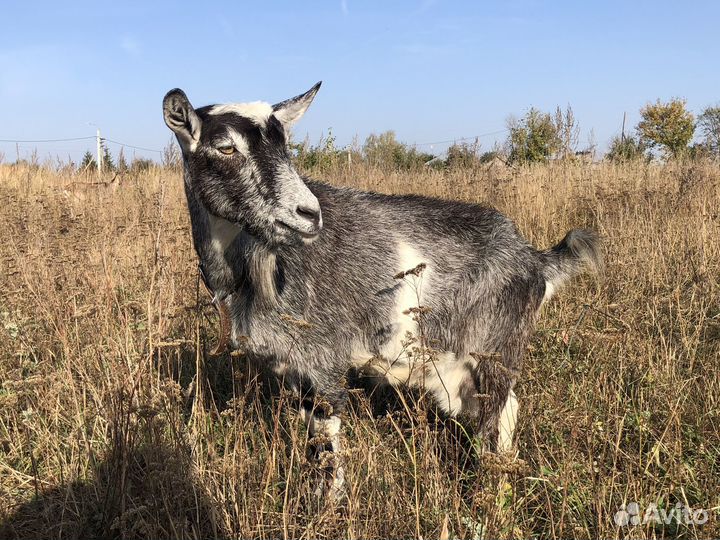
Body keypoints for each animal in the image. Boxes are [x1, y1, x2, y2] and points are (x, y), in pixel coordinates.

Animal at [162, 82, 601, 497]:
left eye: (284, 144)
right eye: (225, 147)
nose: (308, 214)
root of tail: (534, 260)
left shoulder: (323, 360)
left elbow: (326, 438)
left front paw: (329, 507)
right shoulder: (293, 367)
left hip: (496, 351)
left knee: (496, 417)